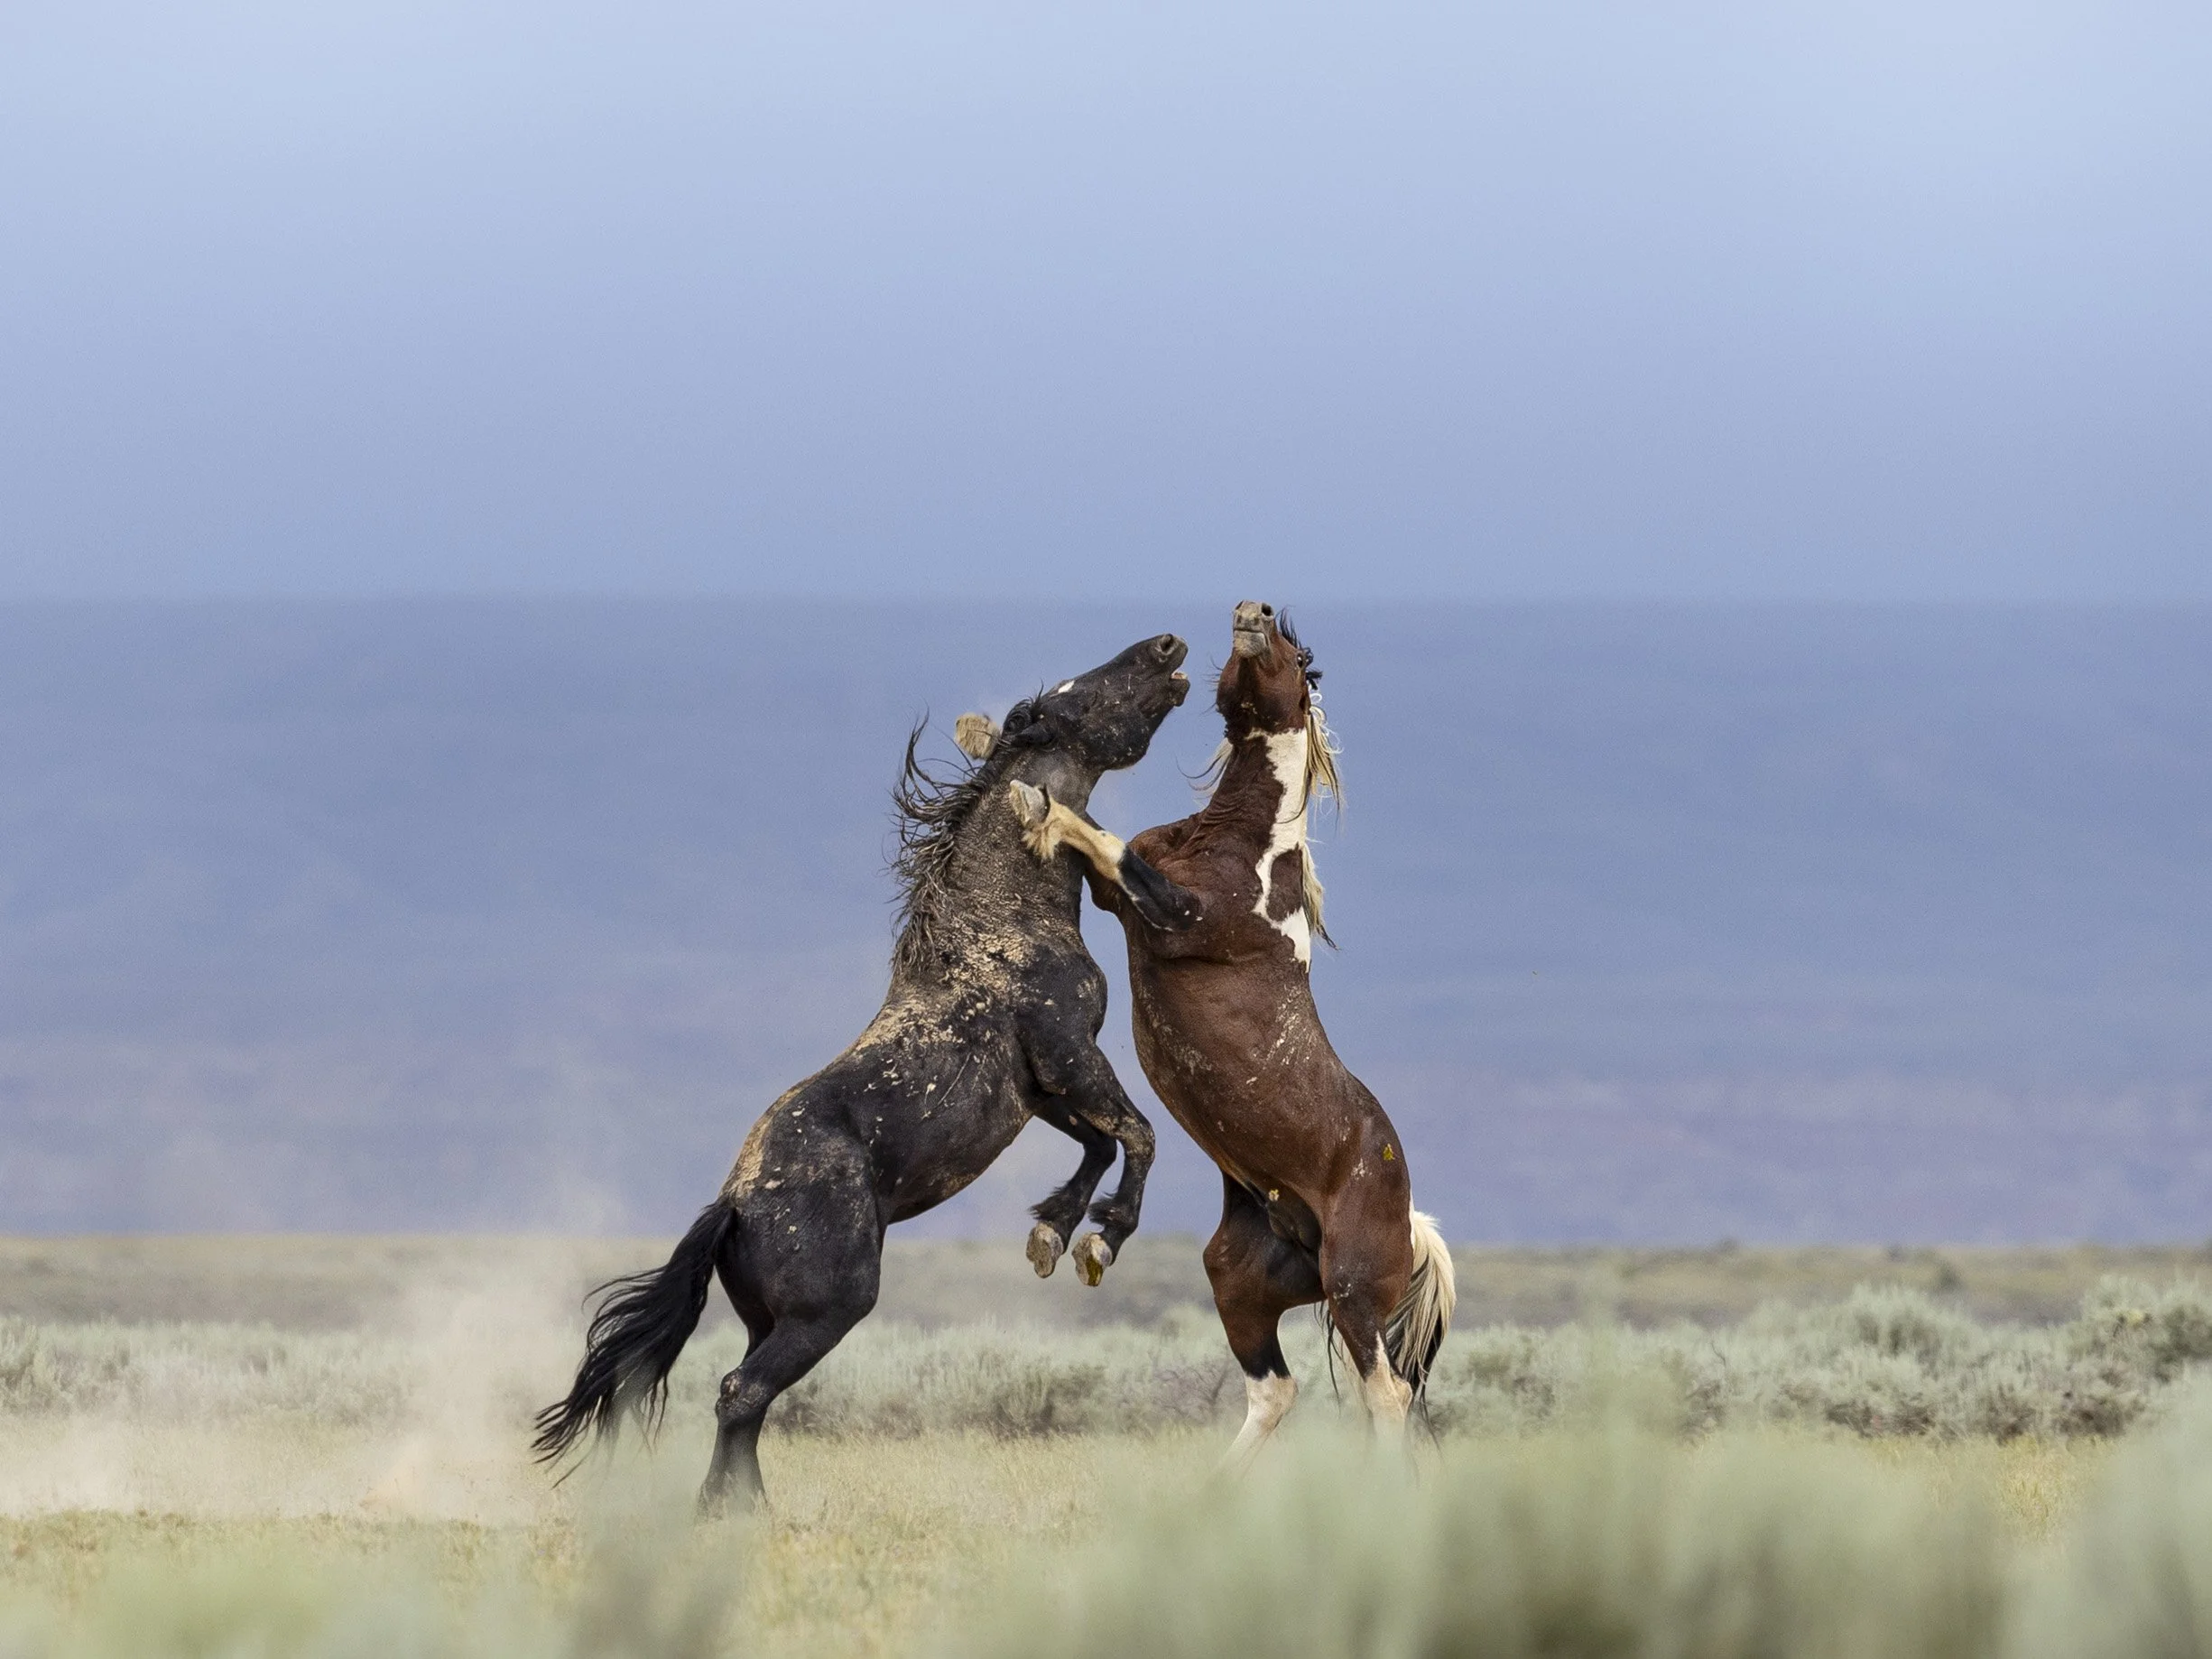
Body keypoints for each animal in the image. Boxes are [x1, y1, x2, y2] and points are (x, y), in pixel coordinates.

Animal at [534, 632, 1195, 1511]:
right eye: (1064, 695)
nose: (1165, 647)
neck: (1004, 922)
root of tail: (732, 1209)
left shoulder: (1039, 1089)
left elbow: (1097, 1143)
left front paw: (1051, 1232)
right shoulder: (1068, 1054)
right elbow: (1139, 1134)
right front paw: (1098, 1241)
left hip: (772, 1318)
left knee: (743, 1394)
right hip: (831, 1310)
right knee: (741, 1392)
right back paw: (740, 1514)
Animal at [1009, 601, 1455, 1472]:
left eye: (1287, 650)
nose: (1249, 612)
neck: (1241, 843)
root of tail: (1410, 1221)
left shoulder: (1175, 915)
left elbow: (1104, 840)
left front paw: (1032, 805)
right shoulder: (1127, 900)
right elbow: (1106, 843)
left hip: (1352, 1291)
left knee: (1383, 1395)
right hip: (1238, 1283)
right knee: (1276, 1389)